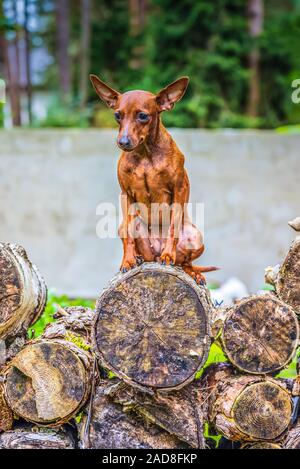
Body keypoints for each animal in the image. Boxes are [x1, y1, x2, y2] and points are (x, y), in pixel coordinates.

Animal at [90, 75, 217, 284]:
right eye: (117, 115)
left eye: (143, 116)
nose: (123, 142)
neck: (145, 154)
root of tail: (154, 255)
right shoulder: (125, 194)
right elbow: (128, 234)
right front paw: (128, 260)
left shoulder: (179, 189)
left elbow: (173, 227)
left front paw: (168, 254)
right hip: (131, 230)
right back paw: (140, 257)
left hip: (195, 236)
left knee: (185, 262)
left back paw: (190, 271)